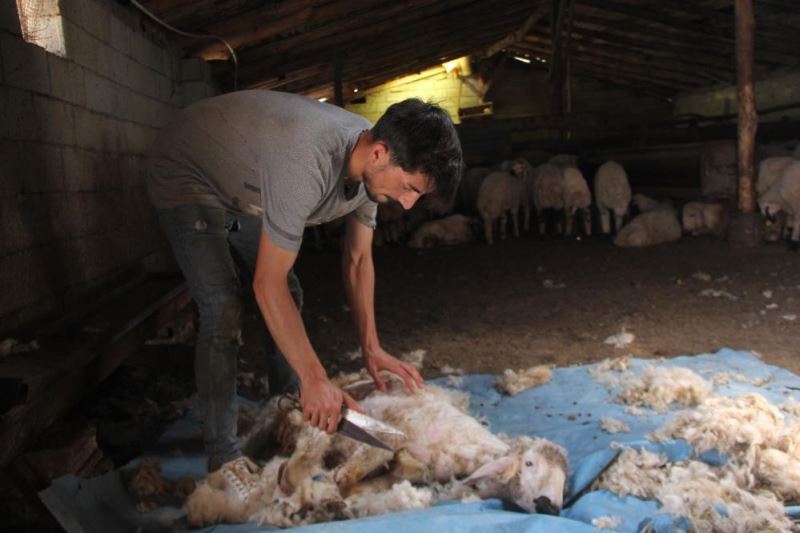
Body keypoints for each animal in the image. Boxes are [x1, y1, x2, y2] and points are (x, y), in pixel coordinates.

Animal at [186, 380, 568, 524]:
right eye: (530, 463)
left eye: (566, 482)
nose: (551, 506)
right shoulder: (383, 431)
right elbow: (357, 465)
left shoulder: (399, 474)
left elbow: (357, 482)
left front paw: (329, 502)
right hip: (277, 417)